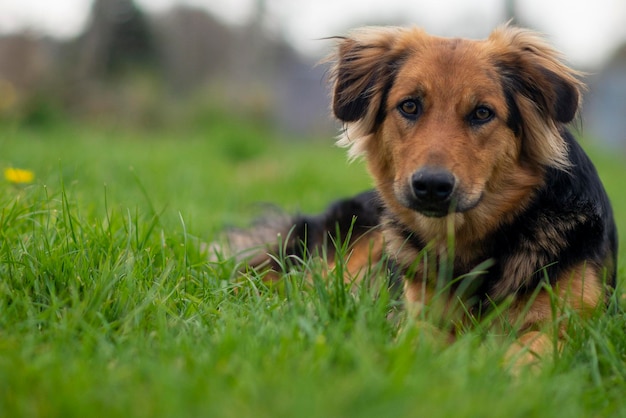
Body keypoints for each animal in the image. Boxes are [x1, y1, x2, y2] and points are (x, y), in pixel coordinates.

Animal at [213, 24, 616, 368]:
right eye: (409, 106)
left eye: (482, 113)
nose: (432, 186)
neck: (474, 249)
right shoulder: (421, 317)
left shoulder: (569, 324)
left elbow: (533, 349)